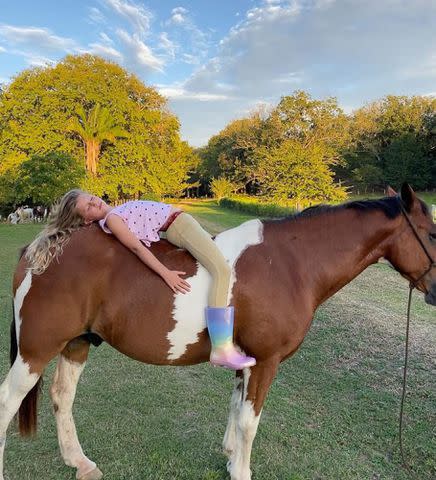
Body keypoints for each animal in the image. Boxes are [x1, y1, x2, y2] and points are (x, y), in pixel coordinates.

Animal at [2, 184, 436, 480]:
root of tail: (40, 248)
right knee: (8, 402)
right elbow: (249, 421)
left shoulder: (247, 359)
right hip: (36, 351)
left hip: (76, 343)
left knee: (62, 397)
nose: (435, 291)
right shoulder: (266, 361)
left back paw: (81, 463)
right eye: (432, 234)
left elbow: (235, 408)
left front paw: (229, 458)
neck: (292, 264)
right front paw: (241, 472)